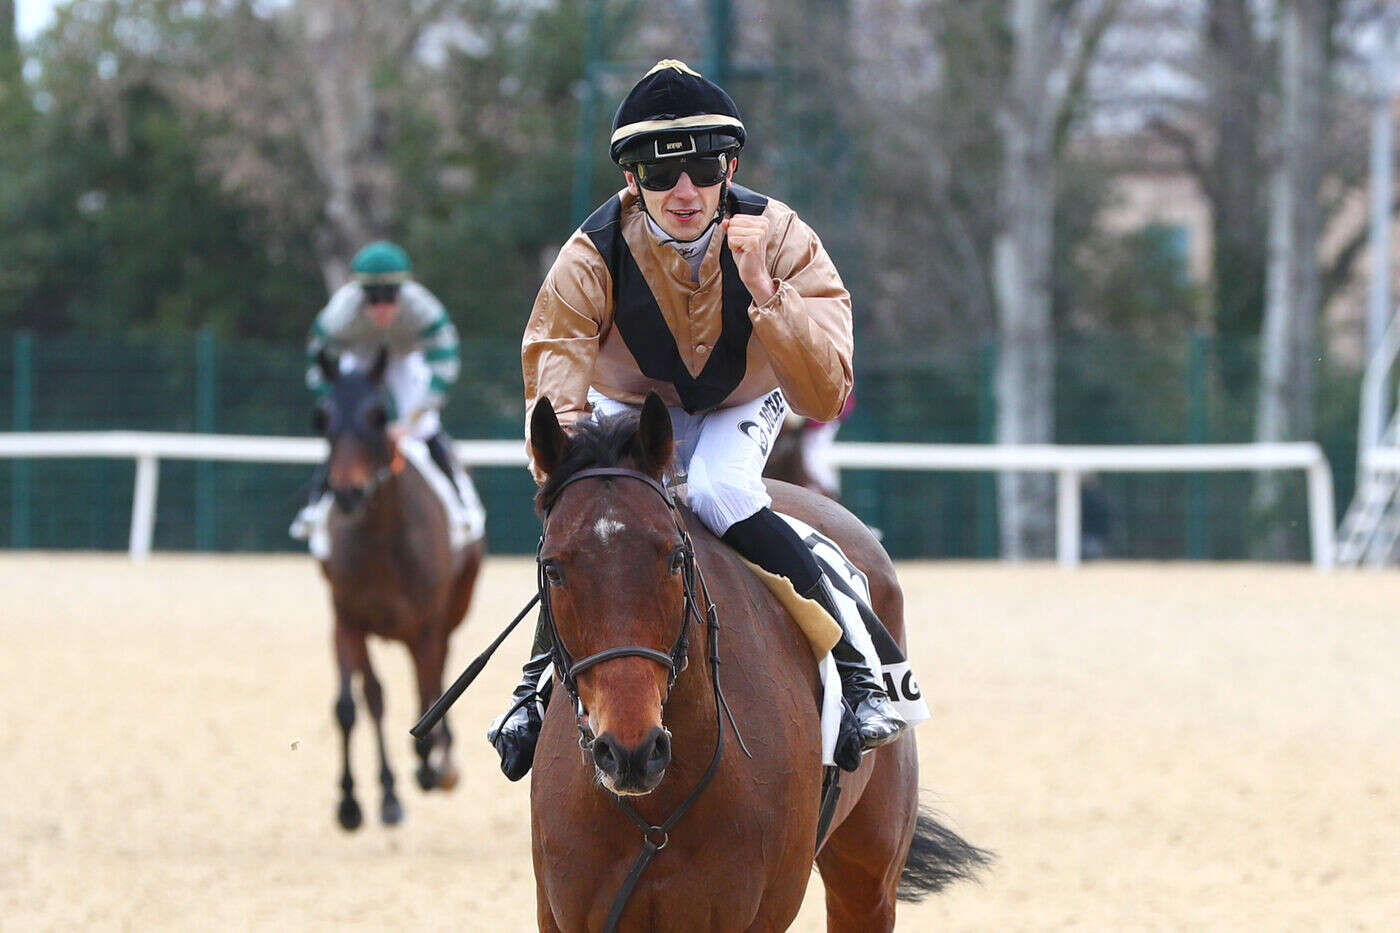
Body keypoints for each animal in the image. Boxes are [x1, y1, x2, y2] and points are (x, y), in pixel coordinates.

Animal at [312, 350, 487, 829]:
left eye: (377, 415)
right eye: (323, 417)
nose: (348, 493)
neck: (381, 541)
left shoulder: (427, 624)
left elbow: (428, 691)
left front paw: (429, 764)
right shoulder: (346, 619)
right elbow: (354, 704)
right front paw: (359, 801)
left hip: (453, 607)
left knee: (438, 674)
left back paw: (441, 761)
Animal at [526, 392, 985, 930]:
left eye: (676, 558)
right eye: (553, 568)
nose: (630, 751)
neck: (660, 808)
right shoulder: (564, 911)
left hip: (870, 870)